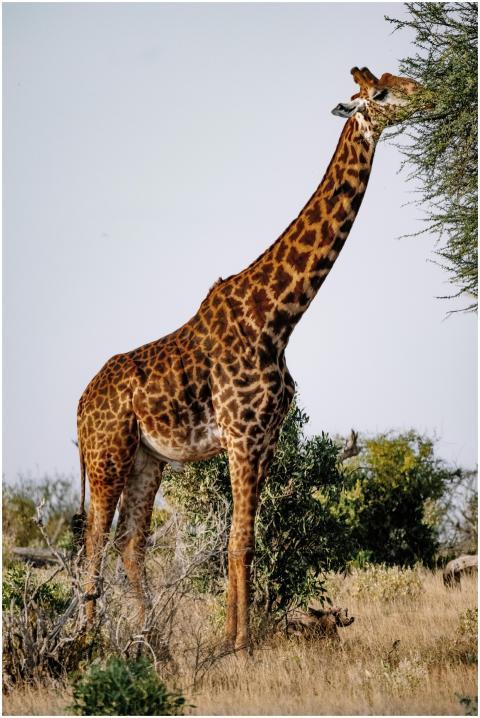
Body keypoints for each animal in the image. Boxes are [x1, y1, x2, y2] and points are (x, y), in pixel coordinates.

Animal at [77, 67, 419, 652]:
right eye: (381, 93)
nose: (429, 97)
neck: (279, 317)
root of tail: (76, 407)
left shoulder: (266, 437)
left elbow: (248, 541)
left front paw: (238, 636)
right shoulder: (241, 434)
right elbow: (236, 543)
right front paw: (237, 644)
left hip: (148, 458)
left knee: (129, 543)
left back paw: (153, 641)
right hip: (107, 455)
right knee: (94, 542)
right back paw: (86, 642)